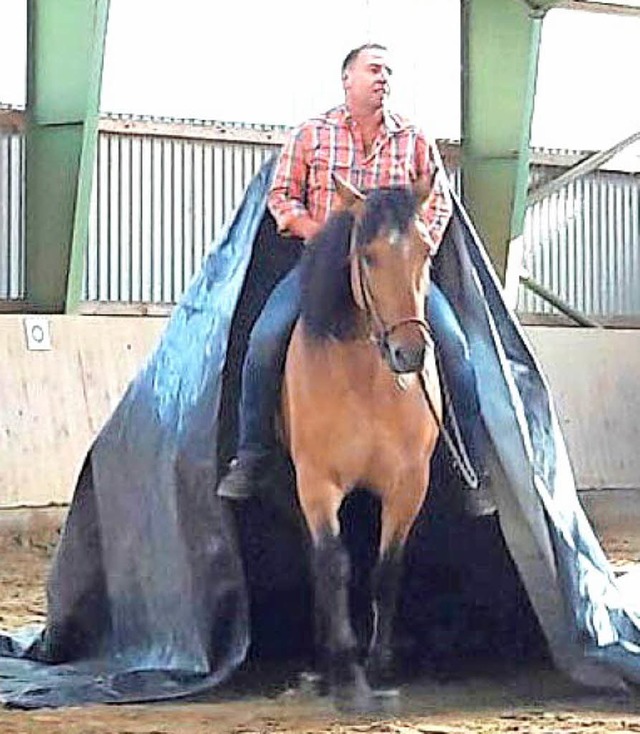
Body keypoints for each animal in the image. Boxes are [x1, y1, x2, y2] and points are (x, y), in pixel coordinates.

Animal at [282, 175, 442, 712]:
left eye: (425, 251)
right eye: (367, 256)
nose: (409, 353)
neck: (365, 380)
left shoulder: (409, 484)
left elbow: (386, 570)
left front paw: (379, 668)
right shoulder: (317, 482)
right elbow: (334, 564)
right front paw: (348, 679)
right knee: (314, 562)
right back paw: (319, 666)